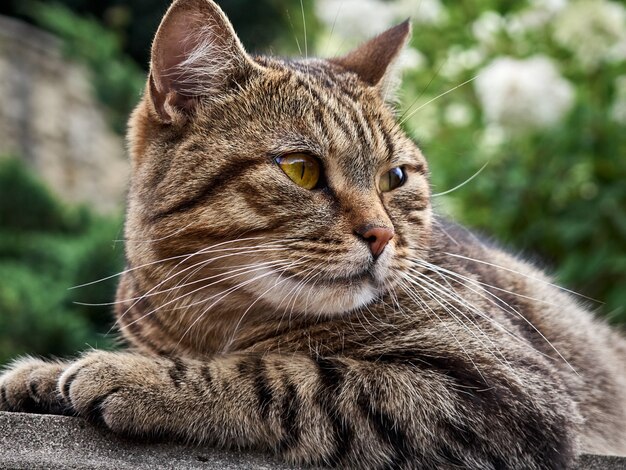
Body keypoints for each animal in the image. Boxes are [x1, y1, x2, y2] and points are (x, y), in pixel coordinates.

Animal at [1, 0, 624, 468]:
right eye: (300, 169)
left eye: (395, 177)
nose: (382, 235)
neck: (207, 321)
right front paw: (43, 374)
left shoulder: (503, 389)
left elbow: (287, 376)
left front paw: (132, 374)